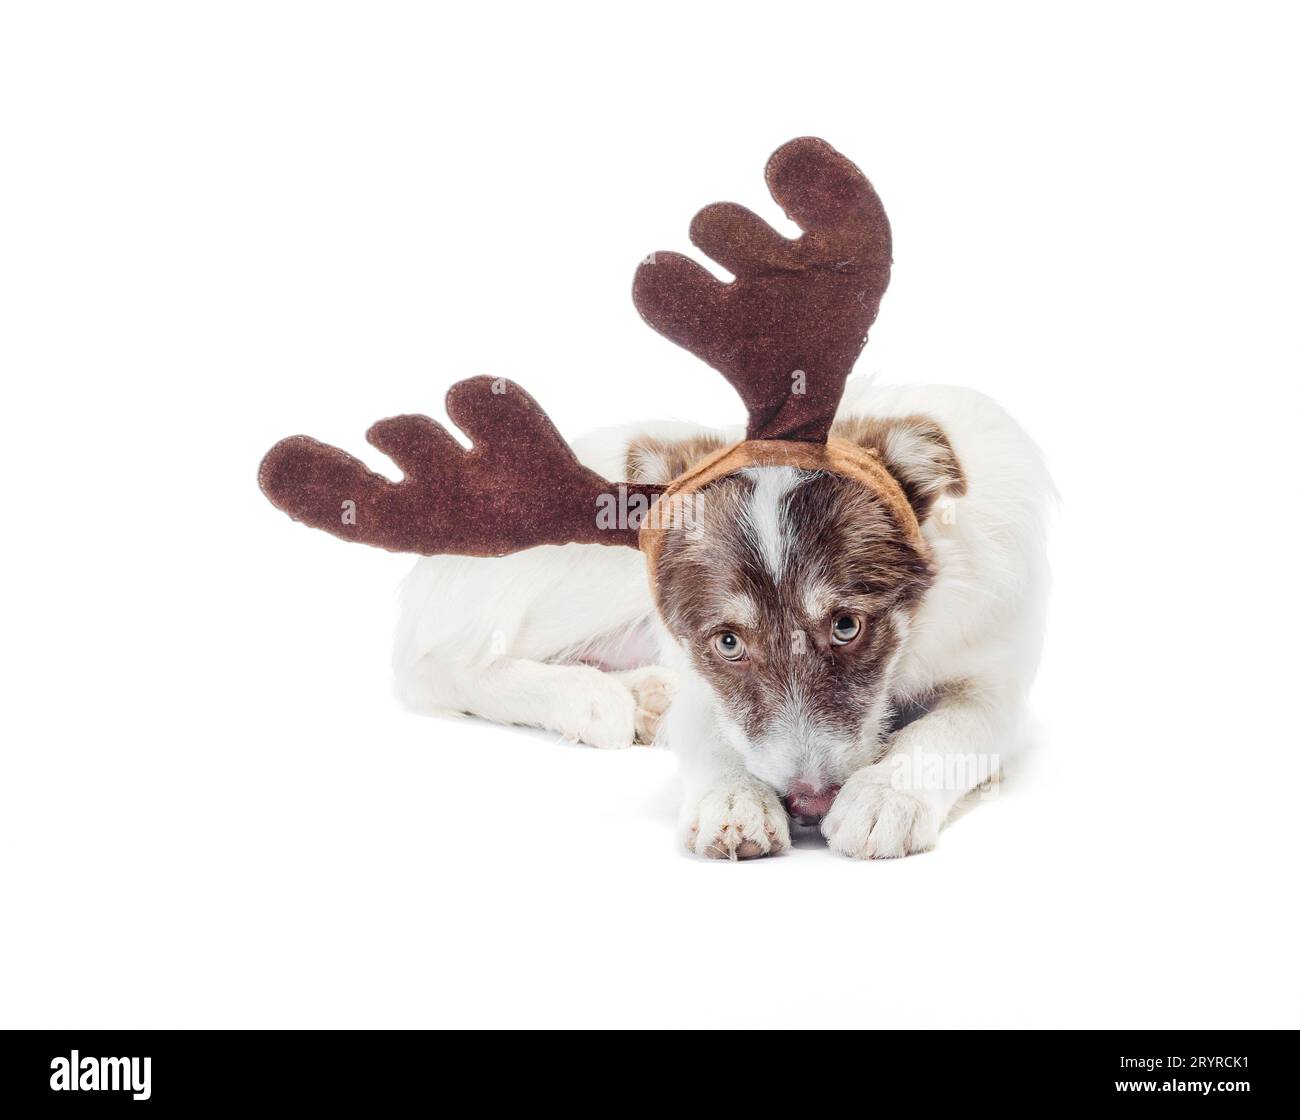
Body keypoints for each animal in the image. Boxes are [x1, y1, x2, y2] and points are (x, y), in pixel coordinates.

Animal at [390, 376, 1050, 857]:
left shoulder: (999, 687)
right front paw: (735, 800)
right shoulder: (703, 679)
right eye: (729, 642)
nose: (808, 804)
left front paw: (887, 792)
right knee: (433, 663)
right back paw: (588, 698)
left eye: (847, 626)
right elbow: (714, 737)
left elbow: (949, 729)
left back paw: (641, 693)